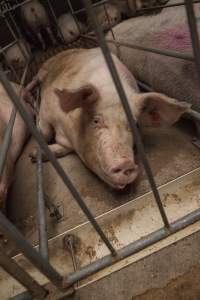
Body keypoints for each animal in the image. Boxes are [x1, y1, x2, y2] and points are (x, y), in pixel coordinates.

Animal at [27, 48, 190, 190]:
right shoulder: (46, 109)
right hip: (44, 69)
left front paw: (34, 155)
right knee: (35, 79)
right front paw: (33, 154)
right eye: (96, 121)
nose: (125, 163)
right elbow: (45, 132)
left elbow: (61, 148)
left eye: (136, 125)